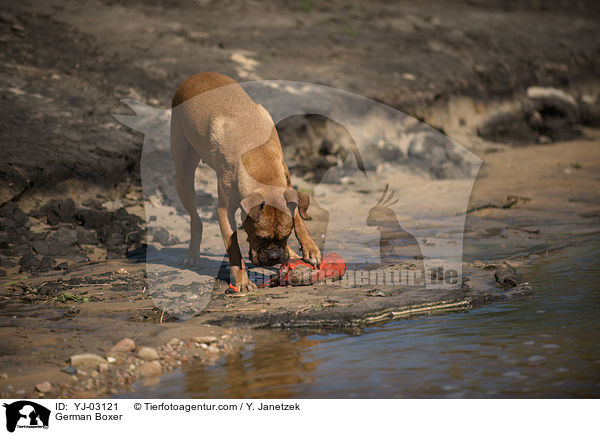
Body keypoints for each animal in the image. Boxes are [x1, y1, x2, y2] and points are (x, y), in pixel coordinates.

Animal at [171, 72, 322, 292]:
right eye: (259, 237)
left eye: (286, 236)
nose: (274, 257)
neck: (258, 156)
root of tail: (194, 76)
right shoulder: (224, 212)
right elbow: (233, 248)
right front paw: (242, 281)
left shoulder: (288, 185)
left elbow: (299, 217)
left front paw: (309, 247)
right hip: (183, 175)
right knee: (195, 219)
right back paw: (192, 254)